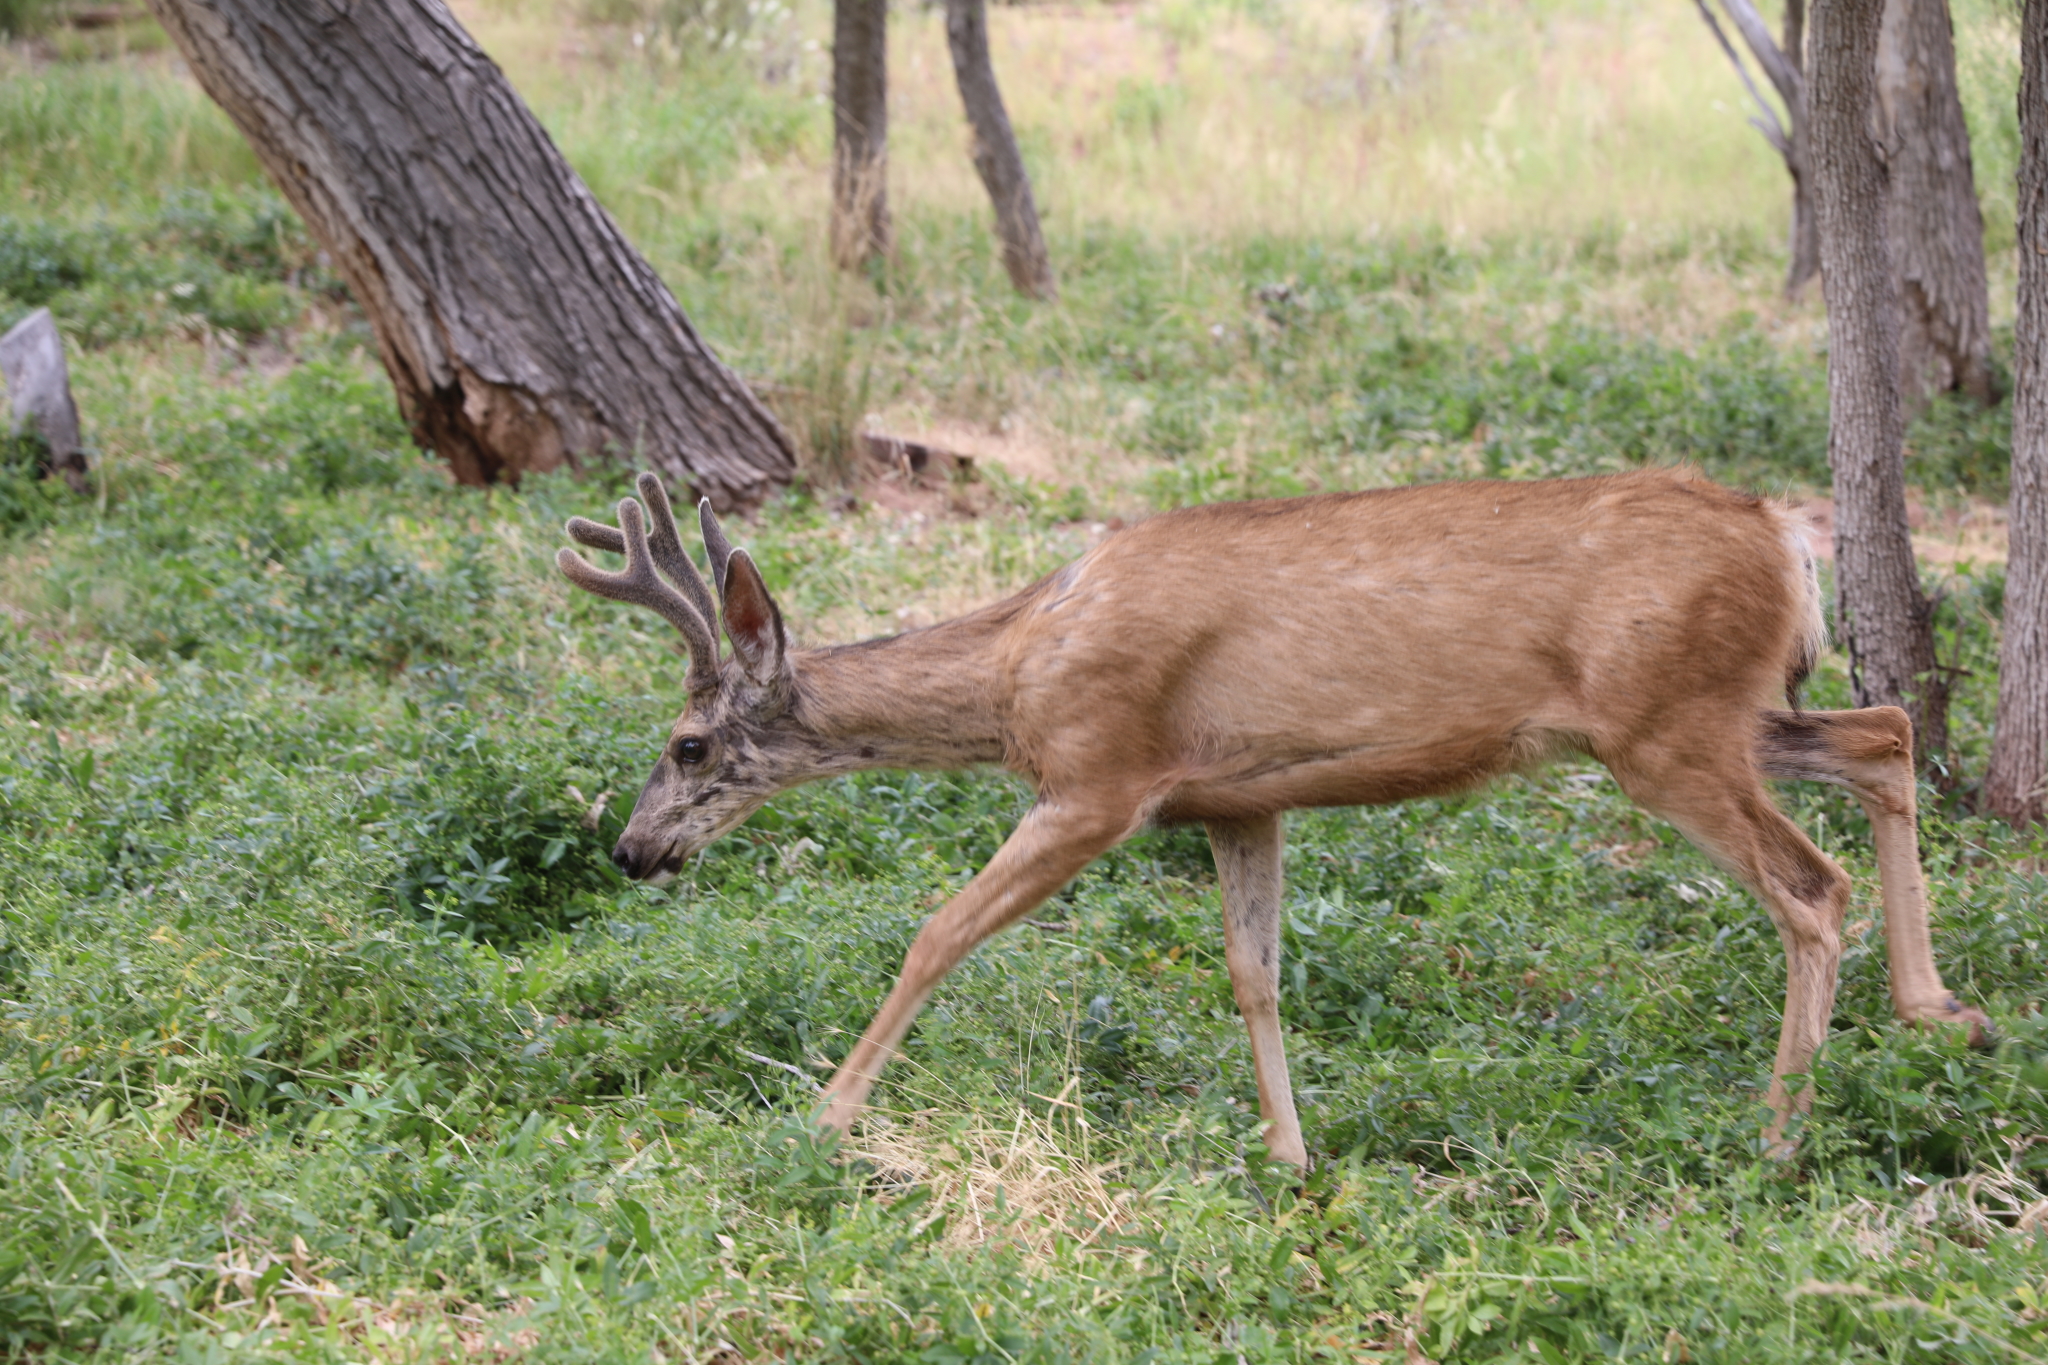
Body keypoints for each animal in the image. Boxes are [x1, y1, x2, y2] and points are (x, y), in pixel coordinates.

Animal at [557, 466, 1982, 1162]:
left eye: (687, 744)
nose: (629, 850)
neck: (1019, 665)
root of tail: (1782, 538)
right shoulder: (1236, 802)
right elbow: (1254, 974)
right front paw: (1290, 1156)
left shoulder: (1097, 778)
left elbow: (938, 931)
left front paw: (826, 1118)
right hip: (1707, 715)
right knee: (1883, 733)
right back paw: (1935, 1009)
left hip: (1664, 731)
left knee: (1809, 888)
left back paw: (1776, 1136)